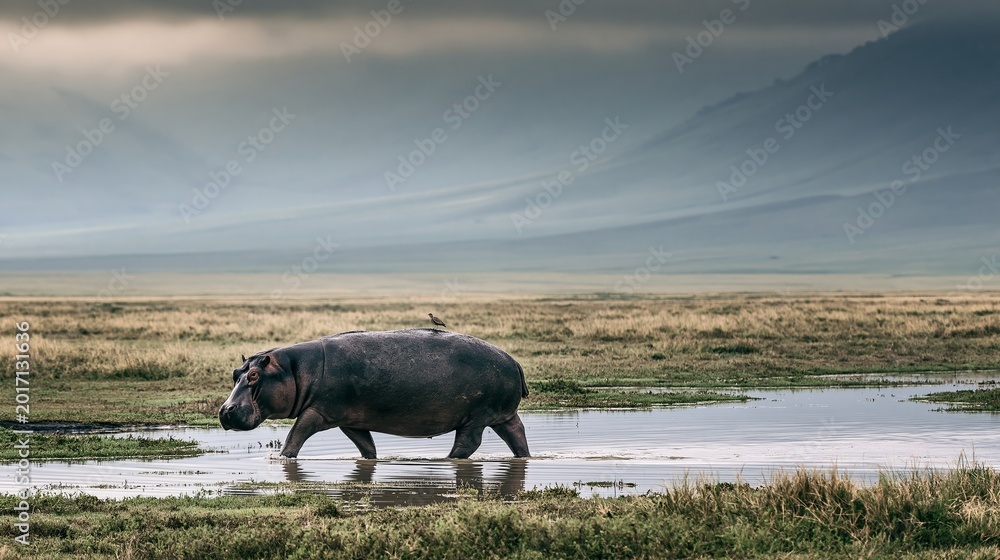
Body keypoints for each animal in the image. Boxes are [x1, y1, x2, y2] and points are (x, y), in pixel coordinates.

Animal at [219, 328, 530, 459]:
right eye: (235, 372)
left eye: (254, 375)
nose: (225, 410)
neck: (293, 369)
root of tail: (514, 361)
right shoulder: (350, 420)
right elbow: (366, 446)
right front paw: (371, 460)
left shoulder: (318, 411)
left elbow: (295, 436)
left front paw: (282, 458)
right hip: (502, 415)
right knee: (517, 435)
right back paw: (523, 457)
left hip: (476, 416)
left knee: (468, 443)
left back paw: (446, 460)